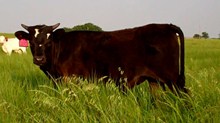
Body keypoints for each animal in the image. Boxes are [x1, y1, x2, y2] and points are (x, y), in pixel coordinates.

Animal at [15, 23, 187, 93]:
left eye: (48, 41)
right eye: (31, 41)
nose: (39, 59)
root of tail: (166, 25)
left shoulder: (70, 79)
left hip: (173, 80)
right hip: (154, 81)